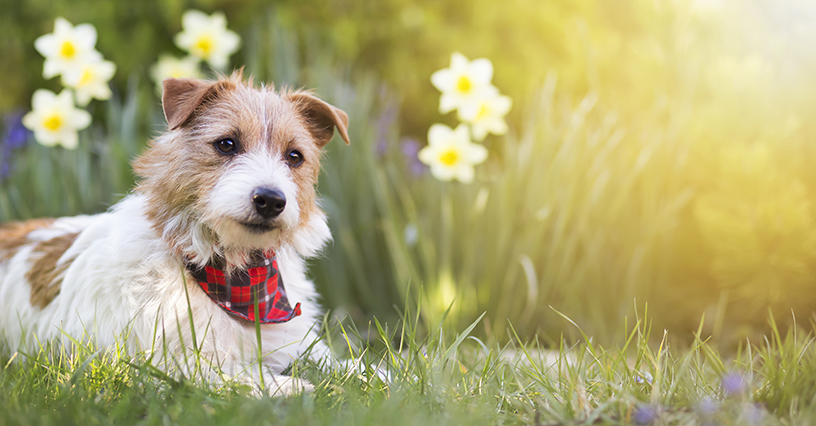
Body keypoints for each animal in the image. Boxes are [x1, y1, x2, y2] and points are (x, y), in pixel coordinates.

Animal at [0, 70, 348, 396]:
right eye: (226, 144)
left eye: (294, 156)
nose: (271, 200)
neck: (235, 277)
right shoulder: (167, 365)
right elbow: (238, 377)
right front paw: (293, 387)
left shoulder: (296, 340)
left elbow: (342, 366)